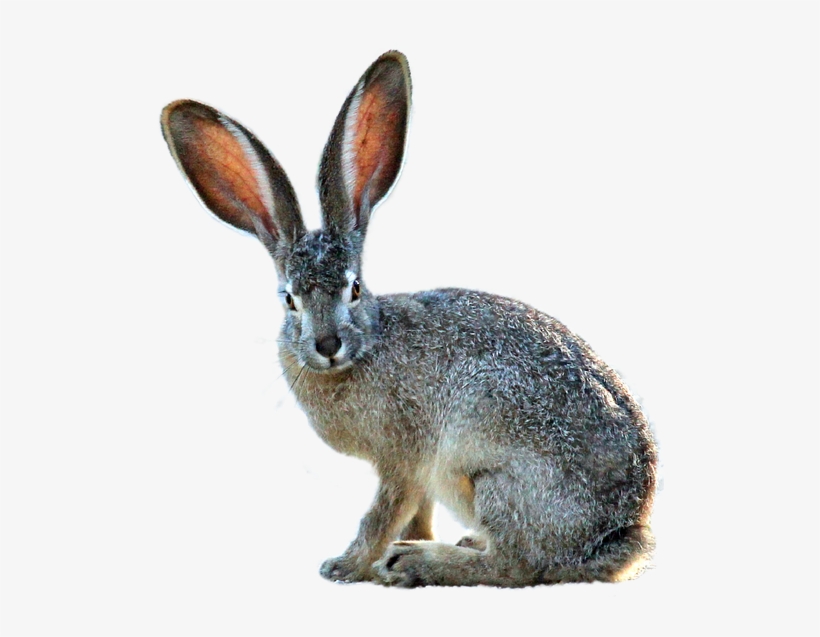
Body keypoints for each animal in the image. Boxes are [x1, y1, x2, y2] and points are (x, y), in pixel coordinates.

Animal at [160, 50, 658, 587]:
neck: (367, 345)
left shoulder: (405, 455)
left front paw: (348, 565)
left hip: (496, 480)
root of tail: (620, 534)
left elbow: (383, 511)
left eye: (354, 288)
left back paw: (419, 562)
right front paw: (390, 552)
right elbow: (413, 511)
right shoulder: (414, 471)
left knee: (518, 564)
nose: (328, 344)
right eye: (289, 299)